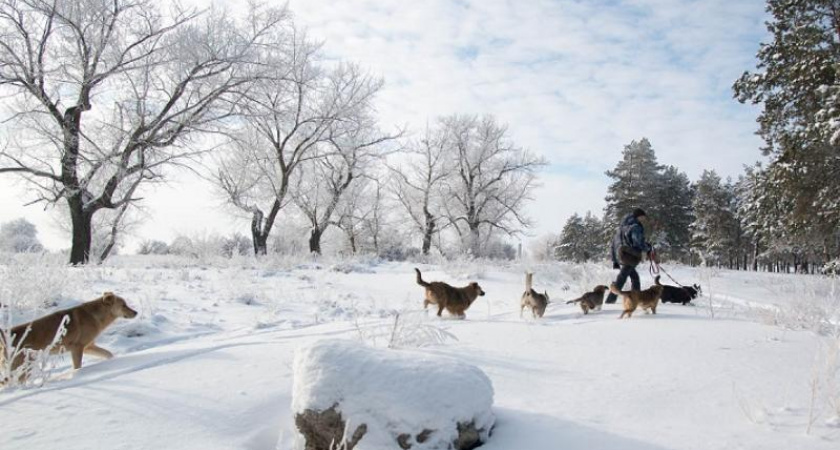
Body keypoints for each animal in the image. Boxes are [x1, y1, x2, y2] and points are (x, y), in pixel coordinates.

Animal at [0, 292, 136, 380]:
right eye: (123, 305)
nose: (136, 312)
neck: (96, 317)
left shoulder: (88, 347)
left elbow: (108, 354)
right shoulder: (77, 348)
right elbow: (77, 367)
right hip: (21, 368)